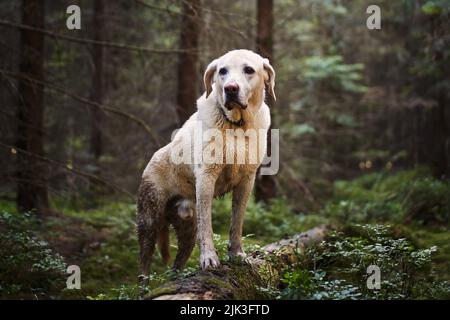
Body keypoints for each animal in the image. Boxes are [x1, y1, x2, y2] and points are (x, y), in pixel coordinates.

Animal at [137, 48, 276, 278]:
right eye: (222, 71)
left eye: (248, 70)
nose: (230, 88)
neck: (236, 126)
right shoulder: (206, 179)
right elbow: (207, 225)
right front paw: (209, 259)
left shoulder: (246, 182)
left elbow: (237, 223)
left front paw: (237, 255)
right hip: (149, 222)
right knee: (144, 267)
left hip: (186, 231)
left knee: (177, 263)